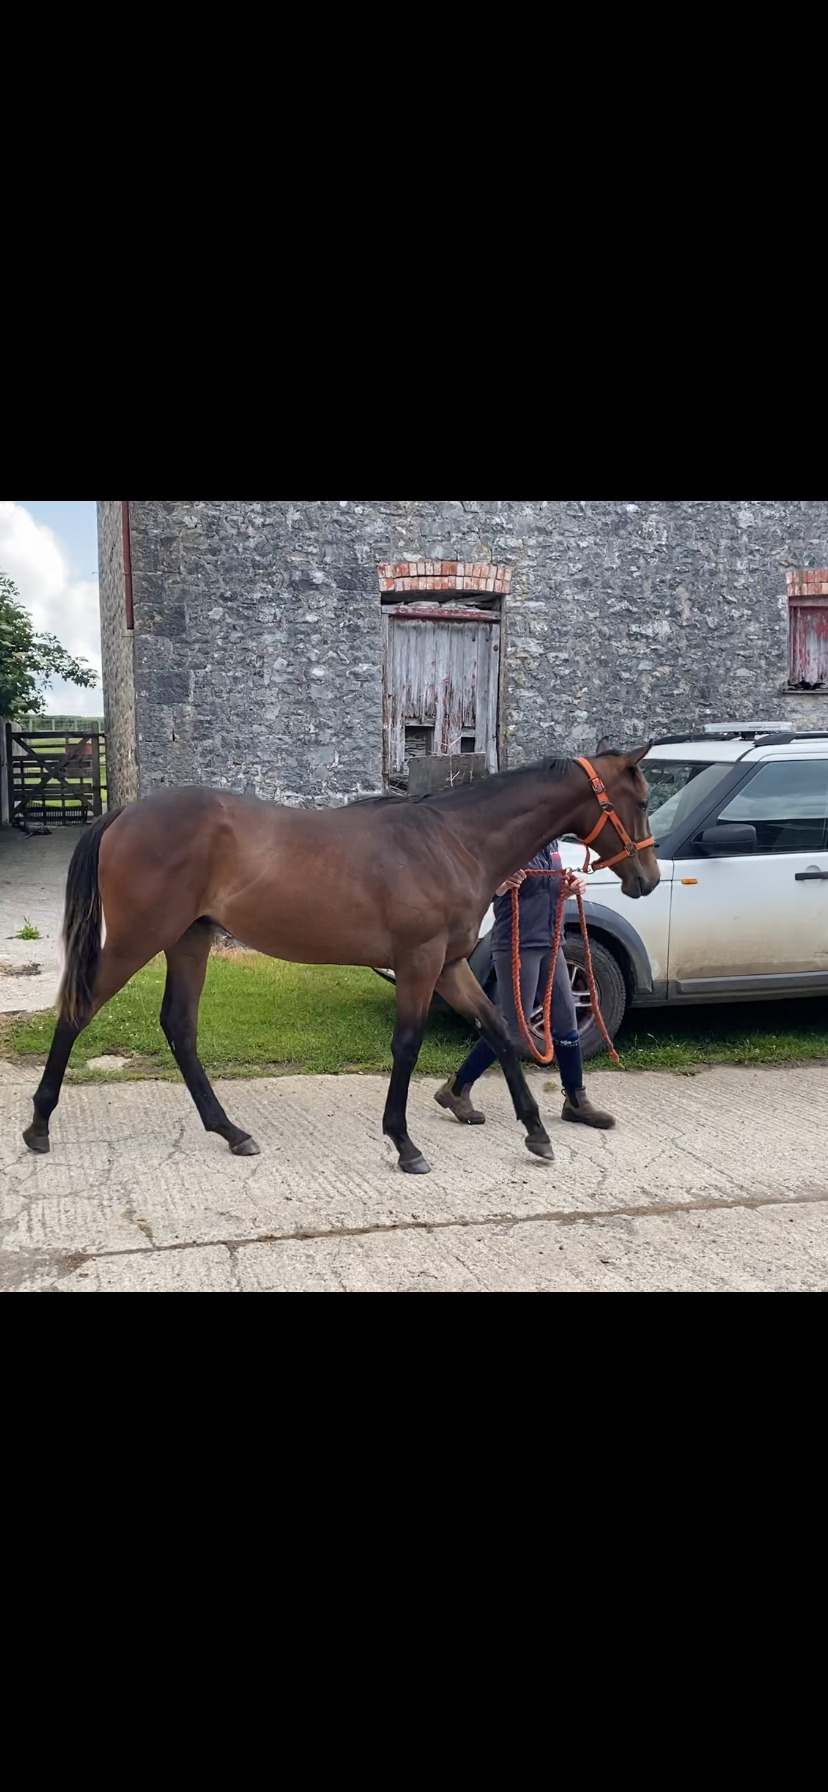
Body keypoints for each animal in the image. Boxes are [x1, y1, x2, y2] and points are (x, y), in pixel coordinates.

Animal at [22, 741, 659, 1174]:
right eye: (644, 798)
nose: (648, 879)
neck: (453, 840)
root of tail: (124, 814)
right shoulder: (420, 962)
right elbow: (407, 1045)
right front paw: (404, 1144)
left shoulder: (450, 967)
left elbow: (501, 1031)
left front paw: (535, 1133)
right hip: (140, 937)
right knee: (79, 1010)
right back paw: (38, 1125)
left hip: (188, 940)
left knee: (178, 1026)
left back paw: (230, 1131)